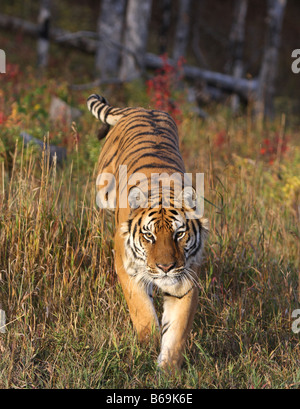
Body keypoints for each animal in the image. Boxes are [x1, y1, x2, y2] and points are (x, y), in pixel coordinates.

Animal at [86, 93, 209, 370]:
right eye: (149, 236)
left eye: (179, 234)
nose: (165, 267)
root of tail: (141, 108)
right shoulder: (127, 268)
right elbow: (141, 312)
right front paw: (148, 346)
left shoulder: (185, 280)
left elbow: (177, 331)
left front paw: (168, 369)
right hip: (102, 187)